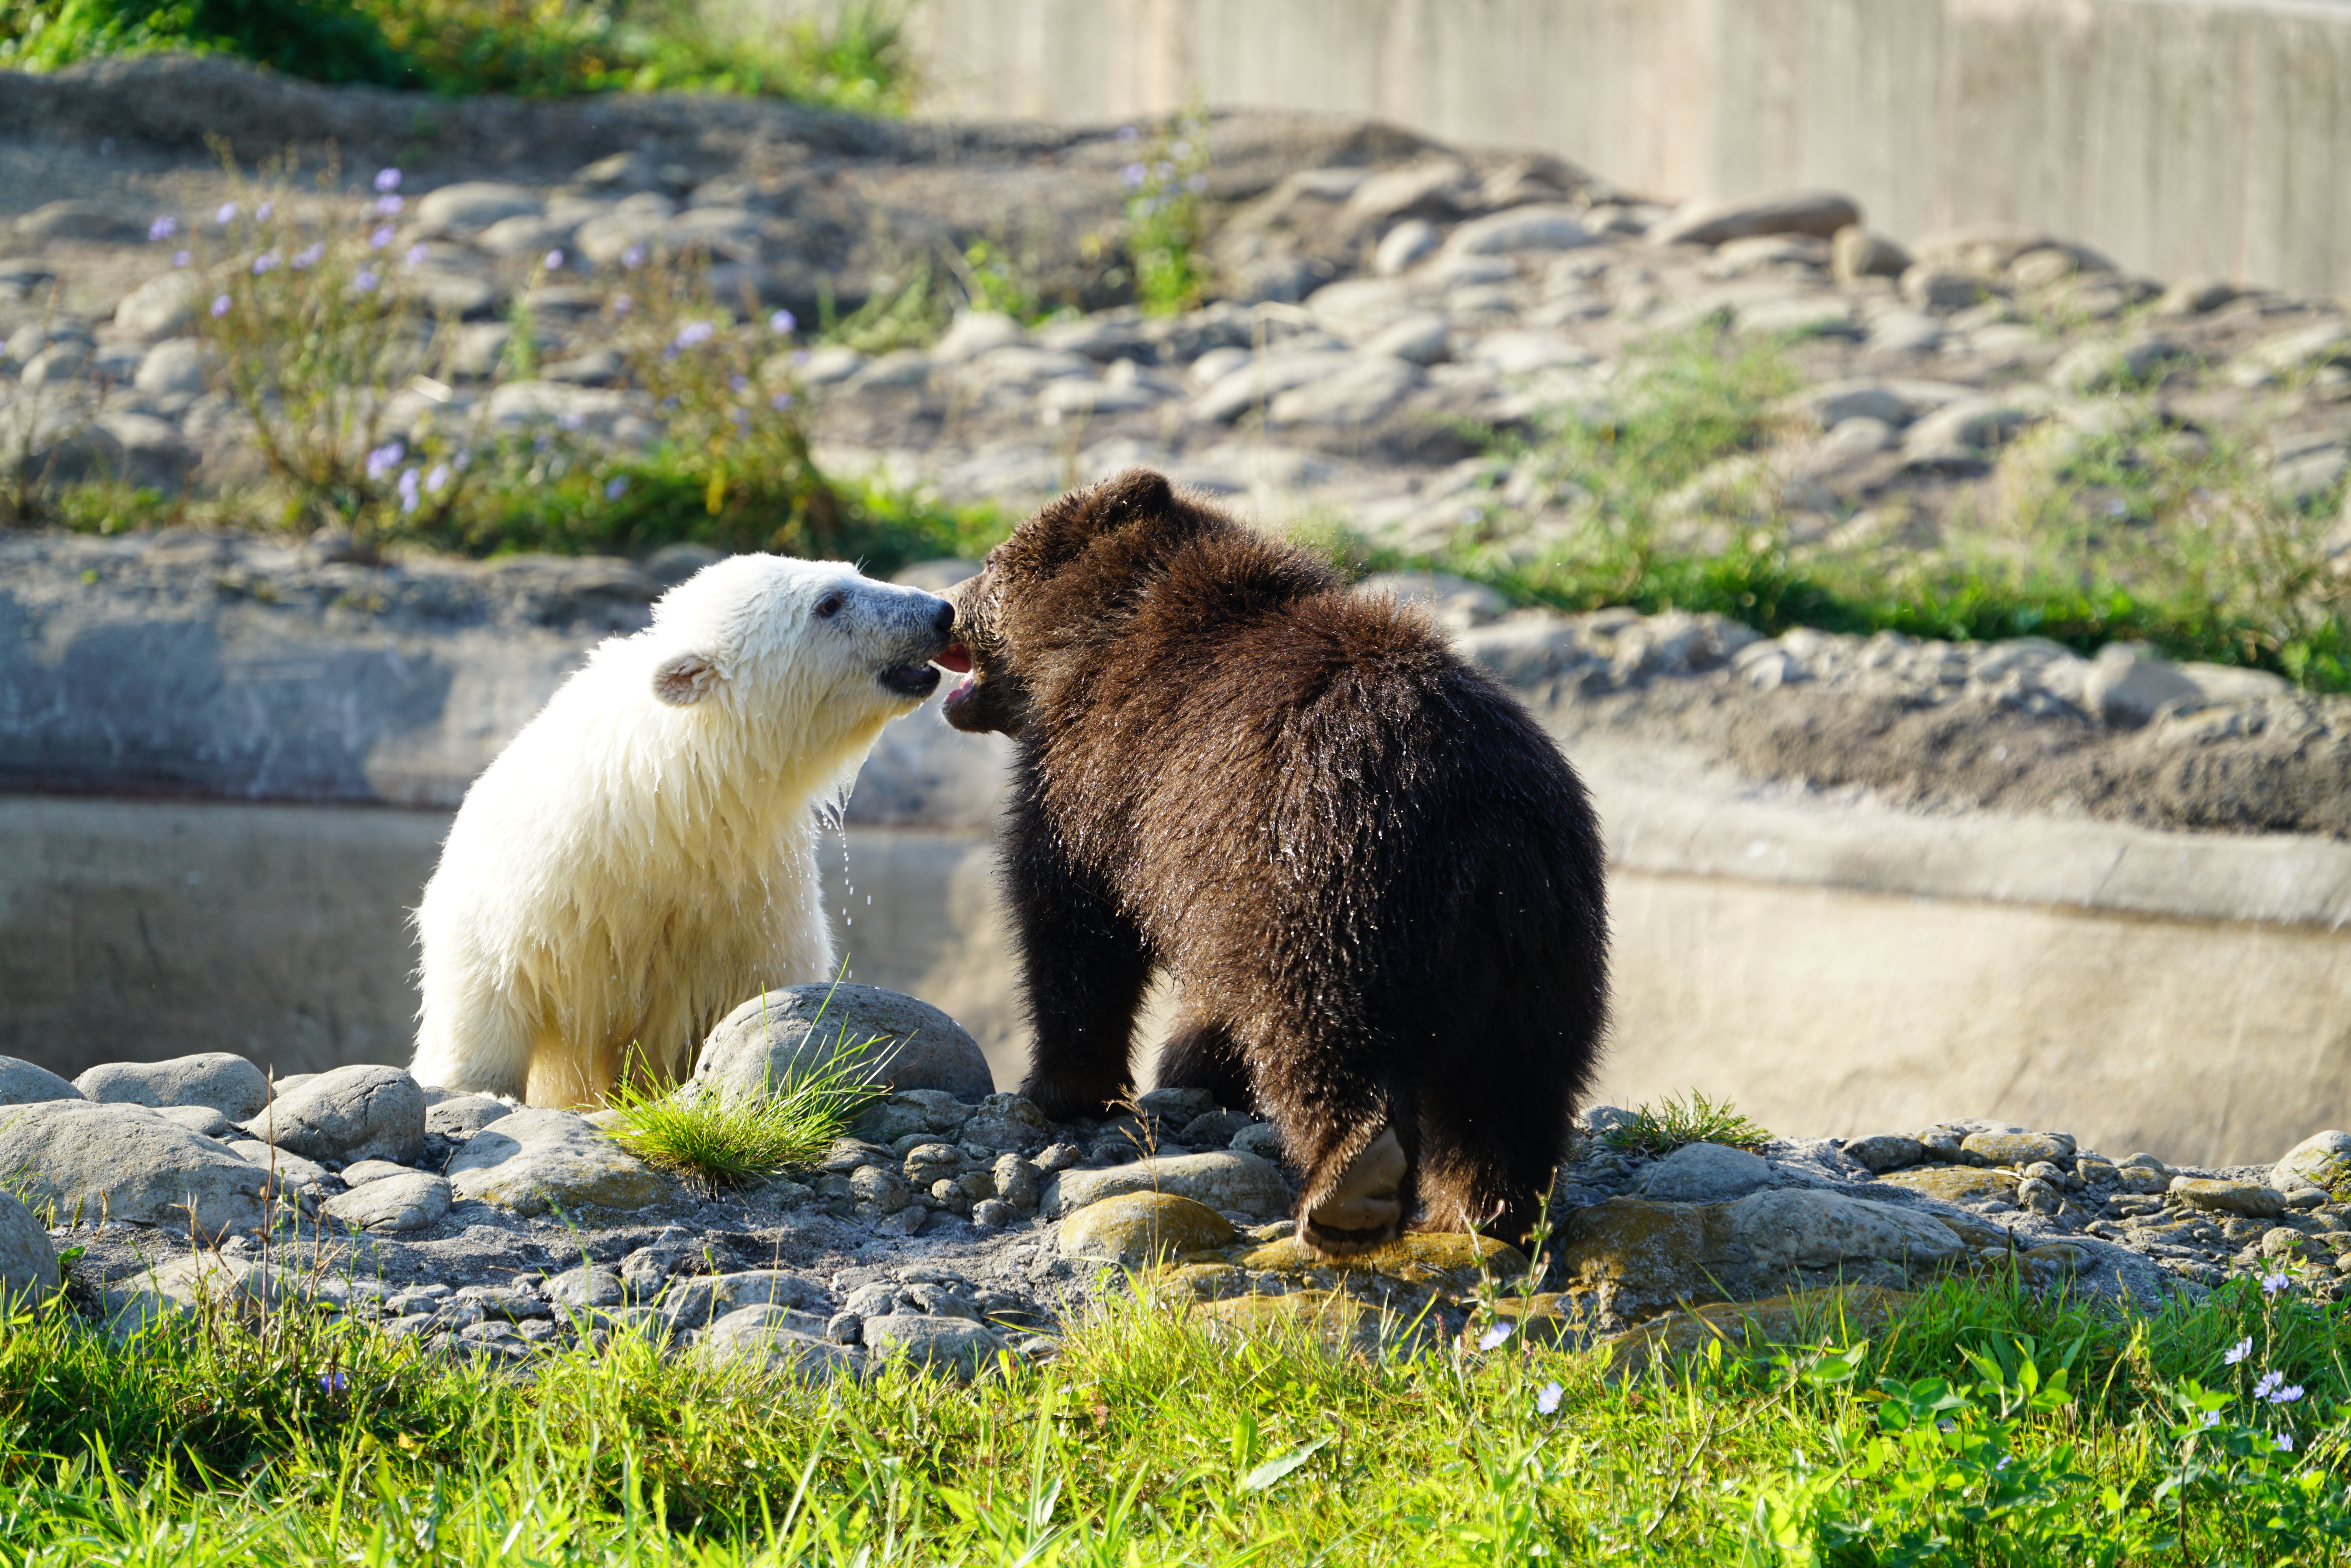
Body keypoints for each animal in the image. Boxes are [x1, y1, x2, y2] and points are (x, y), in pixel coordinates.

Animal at [410, 553, 957, 1108]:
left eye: (855, 572)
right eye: (829, 603)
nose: (941, 611)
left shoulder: (755, 897)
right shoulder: (527, 905)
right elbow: (484, 1012)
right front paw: (484, 1091)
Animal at [937, 468, 1609, 1257]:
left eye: (988, 561)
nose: (941, 605)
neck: (1095, 639)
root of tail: (1482, 827)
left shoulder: (1102, 777)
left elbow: (1072, 924)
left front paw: (1060, 1085)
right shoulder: (1202, 871)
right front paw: (1194, 1068)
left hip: (1330, 877)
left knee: (1321, 1029)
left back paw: (1349, 1188)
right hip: (1545, 938)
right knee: (1517, 1086)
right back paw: (1483, 1210)